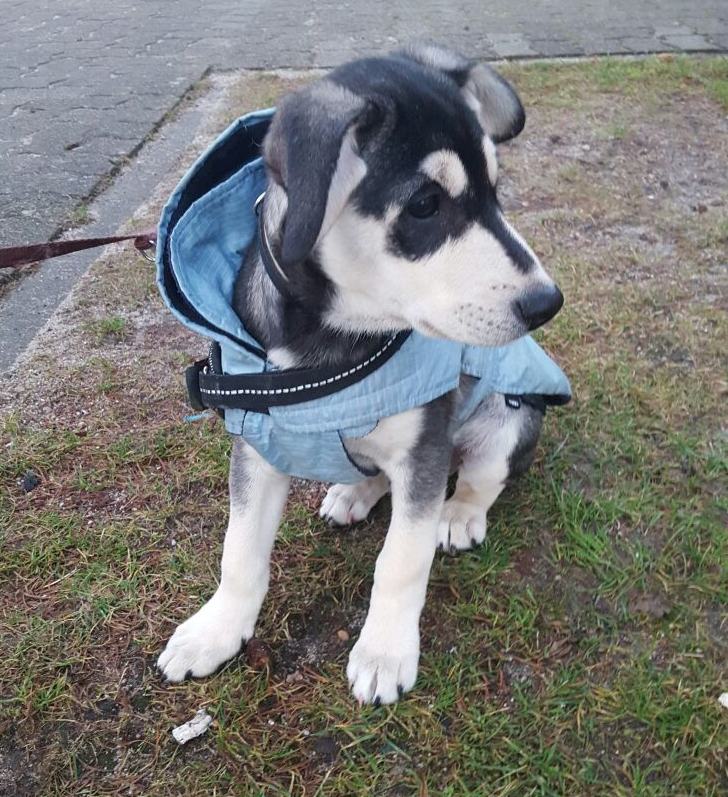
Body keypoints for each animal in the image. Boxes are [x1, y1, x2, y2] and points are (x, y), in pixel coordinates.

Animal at [157, 44, 568, 704]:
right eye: (425, 205)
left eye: (496, 192)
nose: (546, 304)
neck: (333, 343)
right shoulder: (256, 446)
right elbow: (239, 550)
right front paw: (215, 630)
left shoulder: (425, 447)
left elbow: (402, 559)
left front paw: (384, 651)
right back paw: (354, 492)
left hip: (509, 415)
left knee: (482, 478)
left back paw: (458, 514)